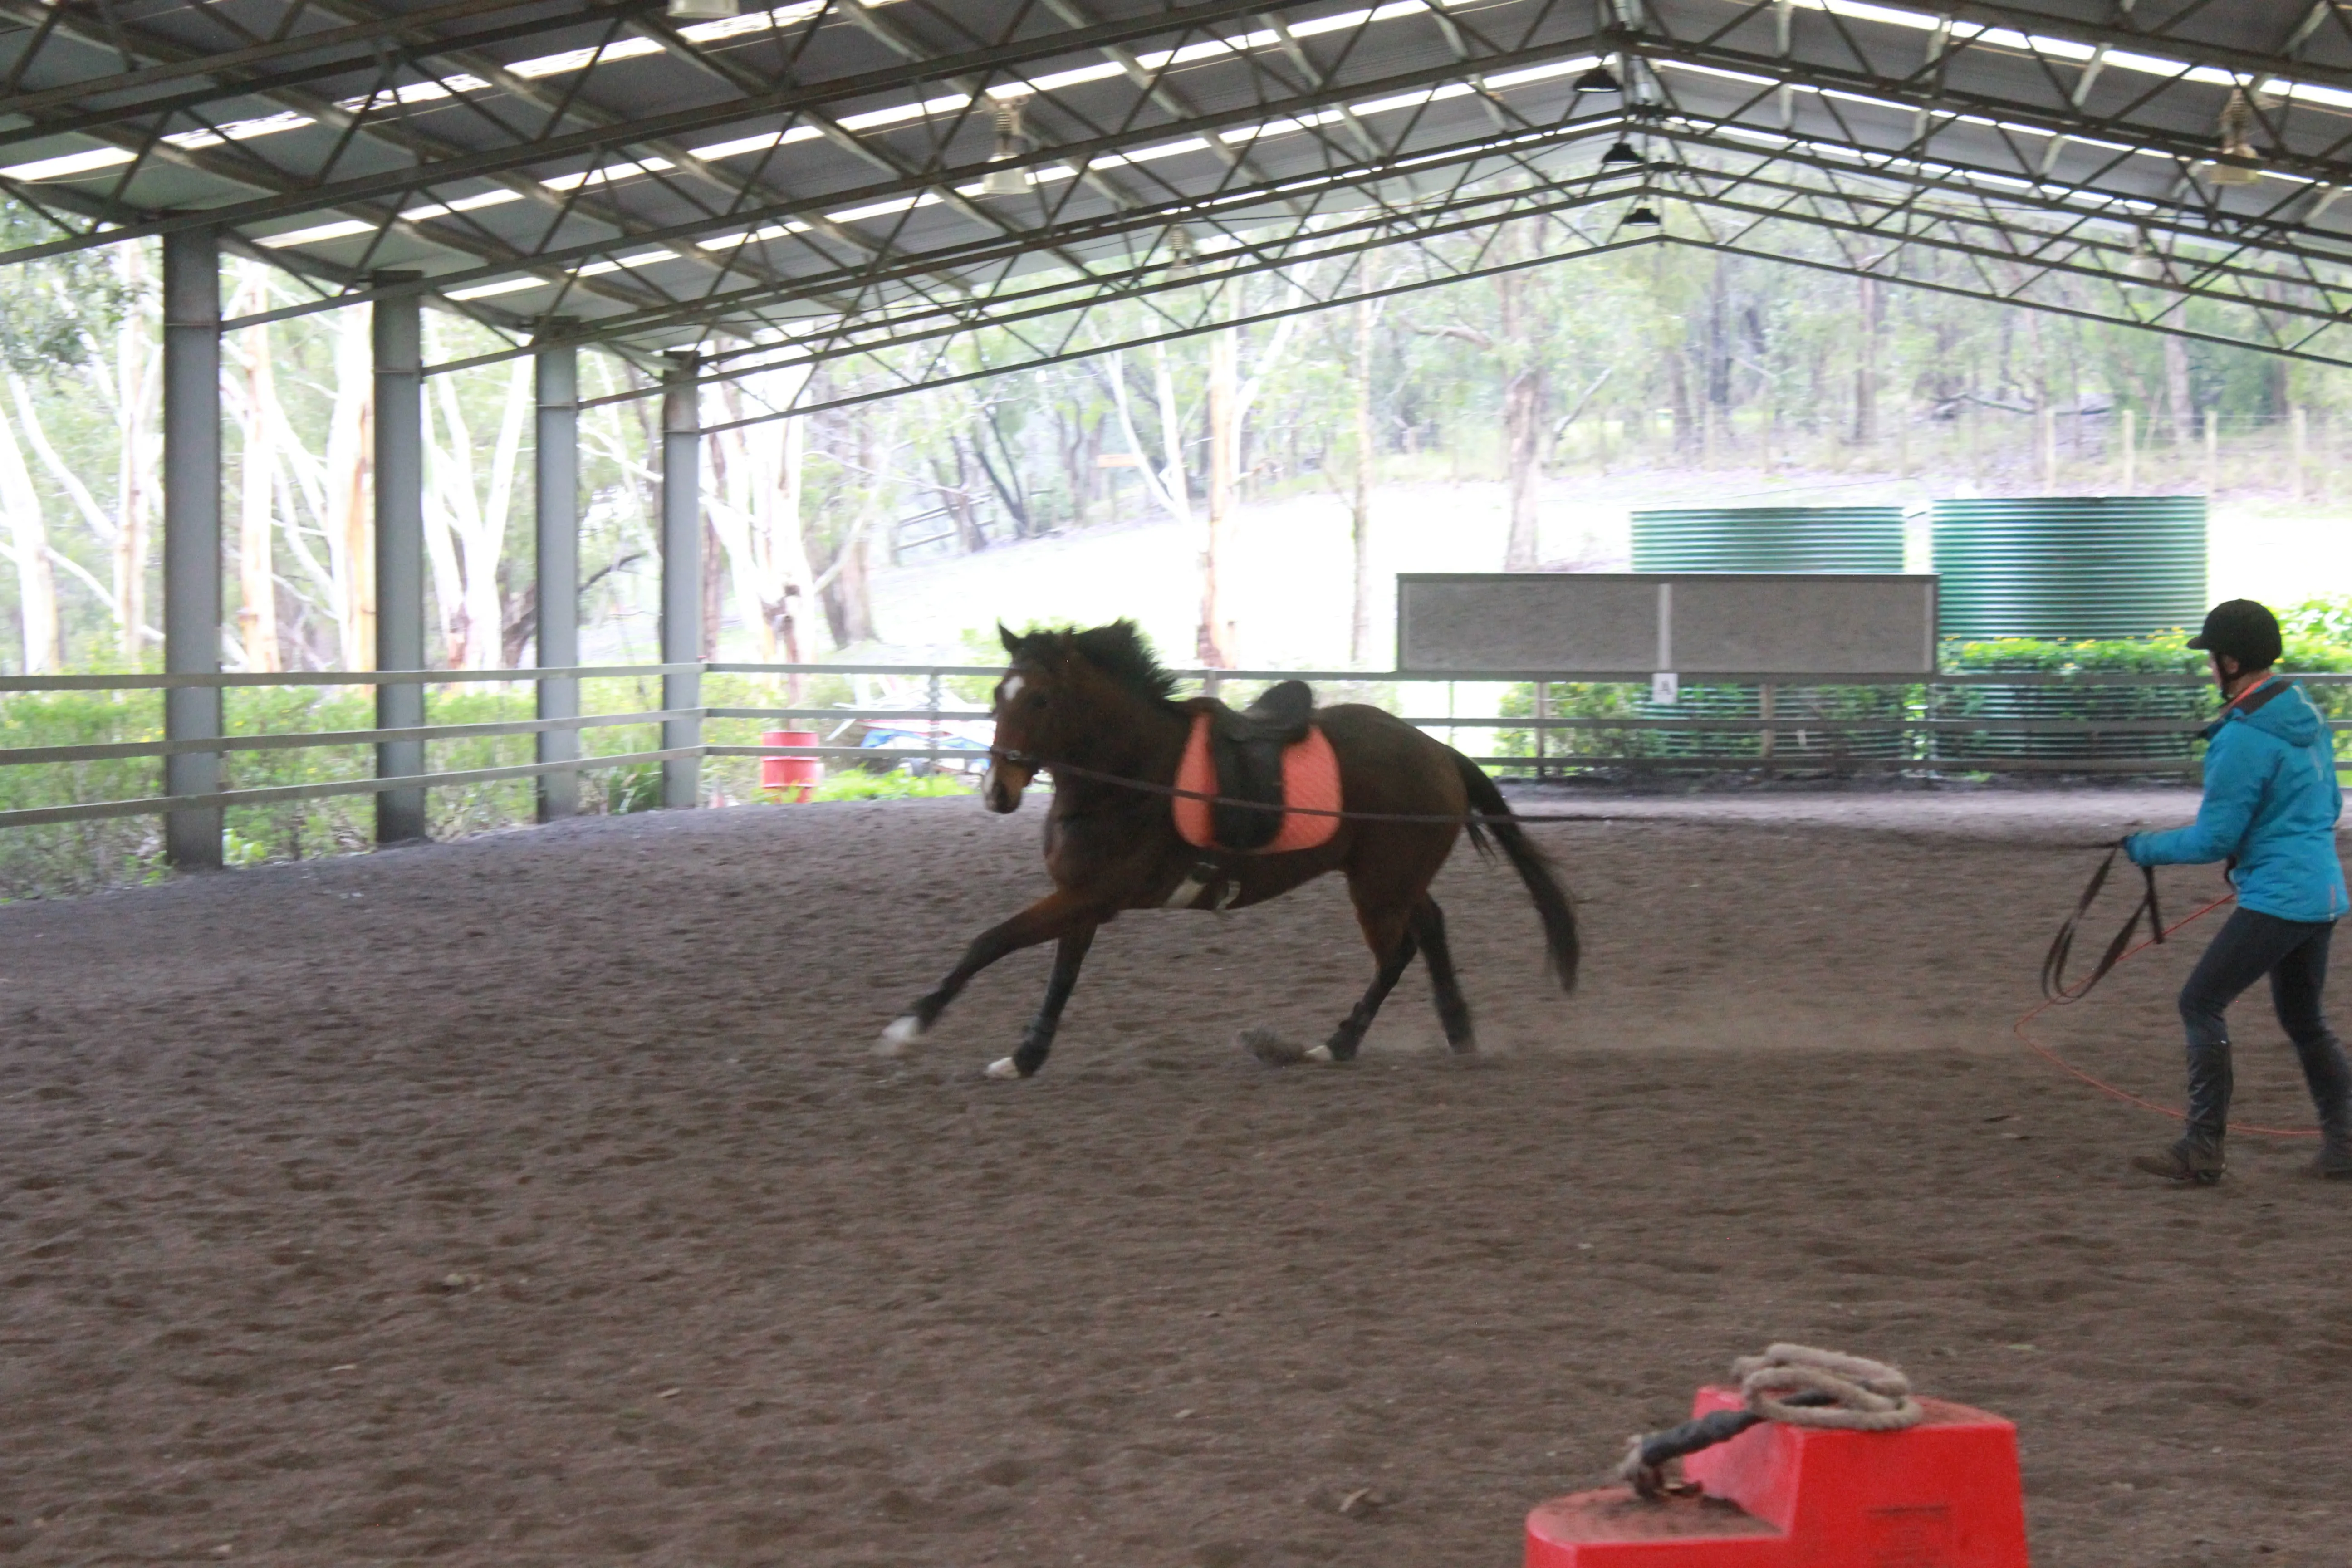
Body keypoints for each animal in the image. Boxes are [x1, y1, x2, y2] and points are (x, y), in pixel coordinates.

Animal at [884, 625, 1580, 1081]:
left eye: (1040, 699)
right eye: (997, 696)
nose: (996, 792)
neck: (1131, 777)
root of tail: (1439, 751)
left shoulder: (1089, 896)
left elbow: (990, 942)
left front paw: (909, 1029)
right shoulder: (1082, 899)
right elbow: (1059, 977)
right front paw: (1026, 1056)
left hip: (1379, 888)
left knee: (1399, 953)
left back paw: (1336, 1045)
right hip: (1391, 877)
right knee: (1430, 929)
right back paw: (1458, 1032)